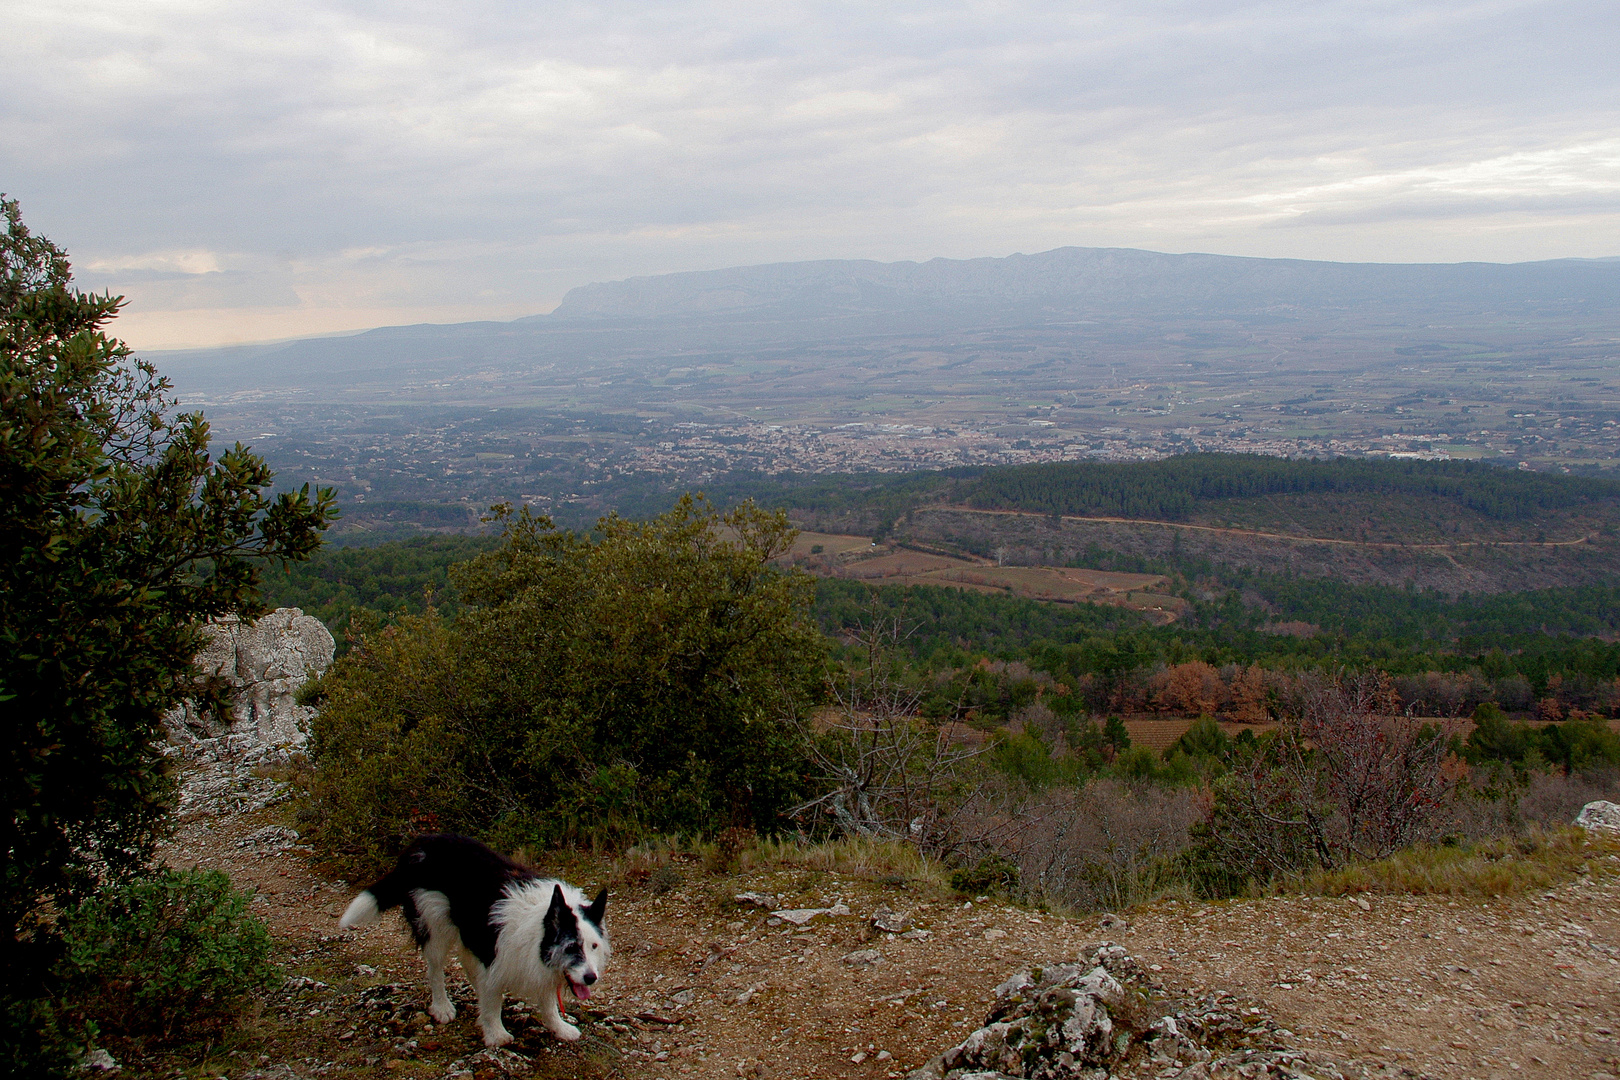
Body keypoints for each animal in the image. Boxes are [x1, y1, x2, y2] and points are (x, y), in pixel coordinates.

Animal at [338, 835, 609, 1049]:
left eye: (593, 946)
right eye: (571, 947)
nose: (591, 978)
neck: (538, 929)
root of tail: (421, 844)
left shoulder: (531, 963)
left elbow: (548, 1002)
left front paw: (559, 1027)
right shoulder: (494, 957)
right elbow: (493, 997)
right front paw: (496, 1033)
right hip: (435, 926)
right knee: (435, 970)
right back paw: (442, 1007)